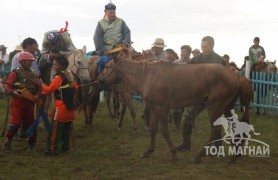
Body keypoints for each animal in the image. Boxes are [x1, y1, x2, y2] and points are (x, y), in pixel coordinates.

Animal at [96, 59, 254, 162]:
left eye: (107, 66)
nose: (98, 81)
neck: (148, 76)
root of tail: (235, 75)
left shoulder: (161, 109)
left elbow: (165, 132)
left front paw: (173, 153)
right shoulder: (154, 109)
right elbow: (153, 130)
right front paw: (148, 151)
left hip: (215, 107)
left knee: (215, 131)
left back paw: (200, 156)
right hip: (227, 108)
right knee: (235, 128)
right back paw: (234, 154)